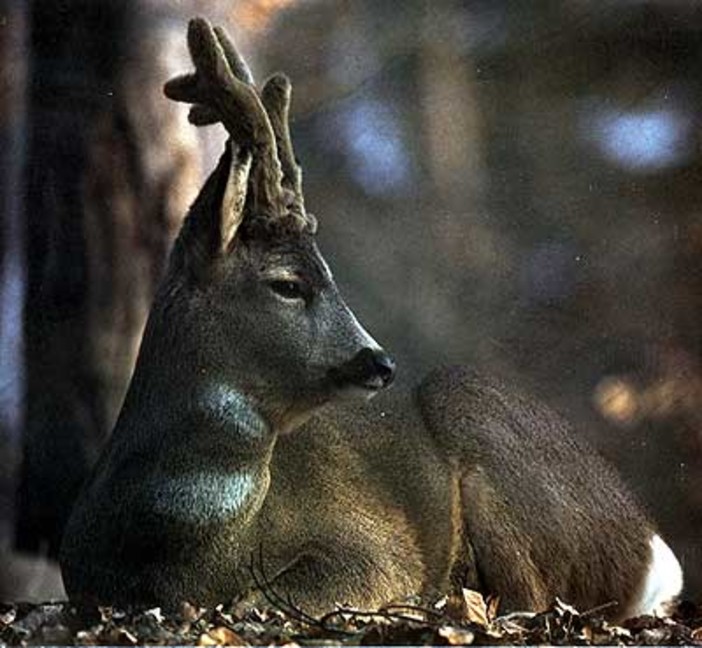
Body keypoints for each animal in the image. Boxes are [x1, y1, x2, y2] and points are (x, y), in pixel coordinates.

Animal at [57, 17, 684, 620]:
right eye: (288, 284)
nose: (379, 362)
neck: (185, 546)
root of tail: (650, 545)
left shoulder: (374, 553)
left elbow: (268, 596)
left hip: (480, 428)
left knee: (531, 599)